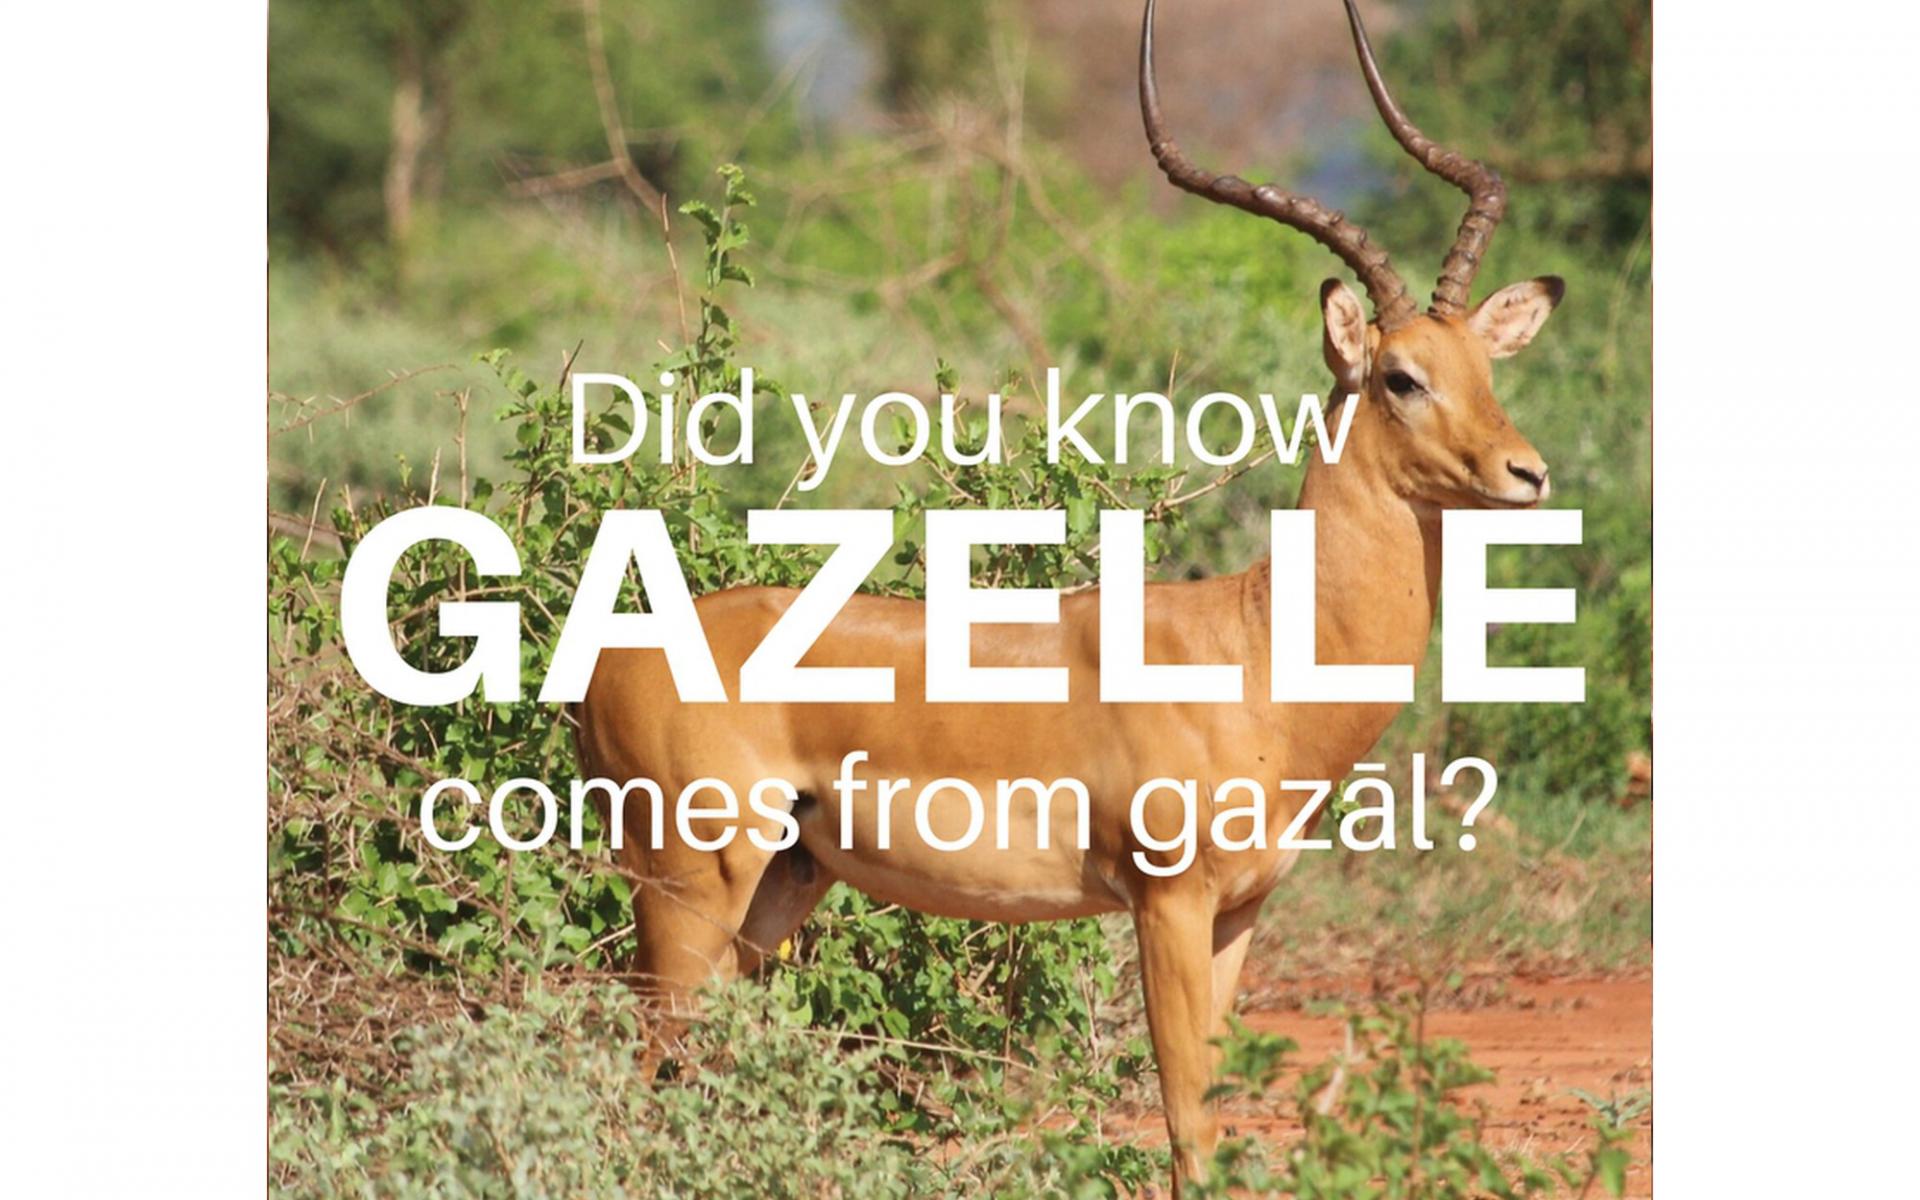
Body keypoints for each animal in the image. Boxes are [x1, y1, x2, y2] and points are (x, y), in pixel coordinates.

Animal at [574, 0, 1563, 1191]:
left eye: (1486, 368)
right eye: (1401, 377)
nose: (1527, 473)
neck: (1257, 652)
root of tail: (601, 664)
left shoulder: (1241, 912)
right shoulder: (1169, 902)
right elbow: (1187, 1117)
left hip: (778, 883)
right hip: (688, 888)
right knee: (636, 1078)